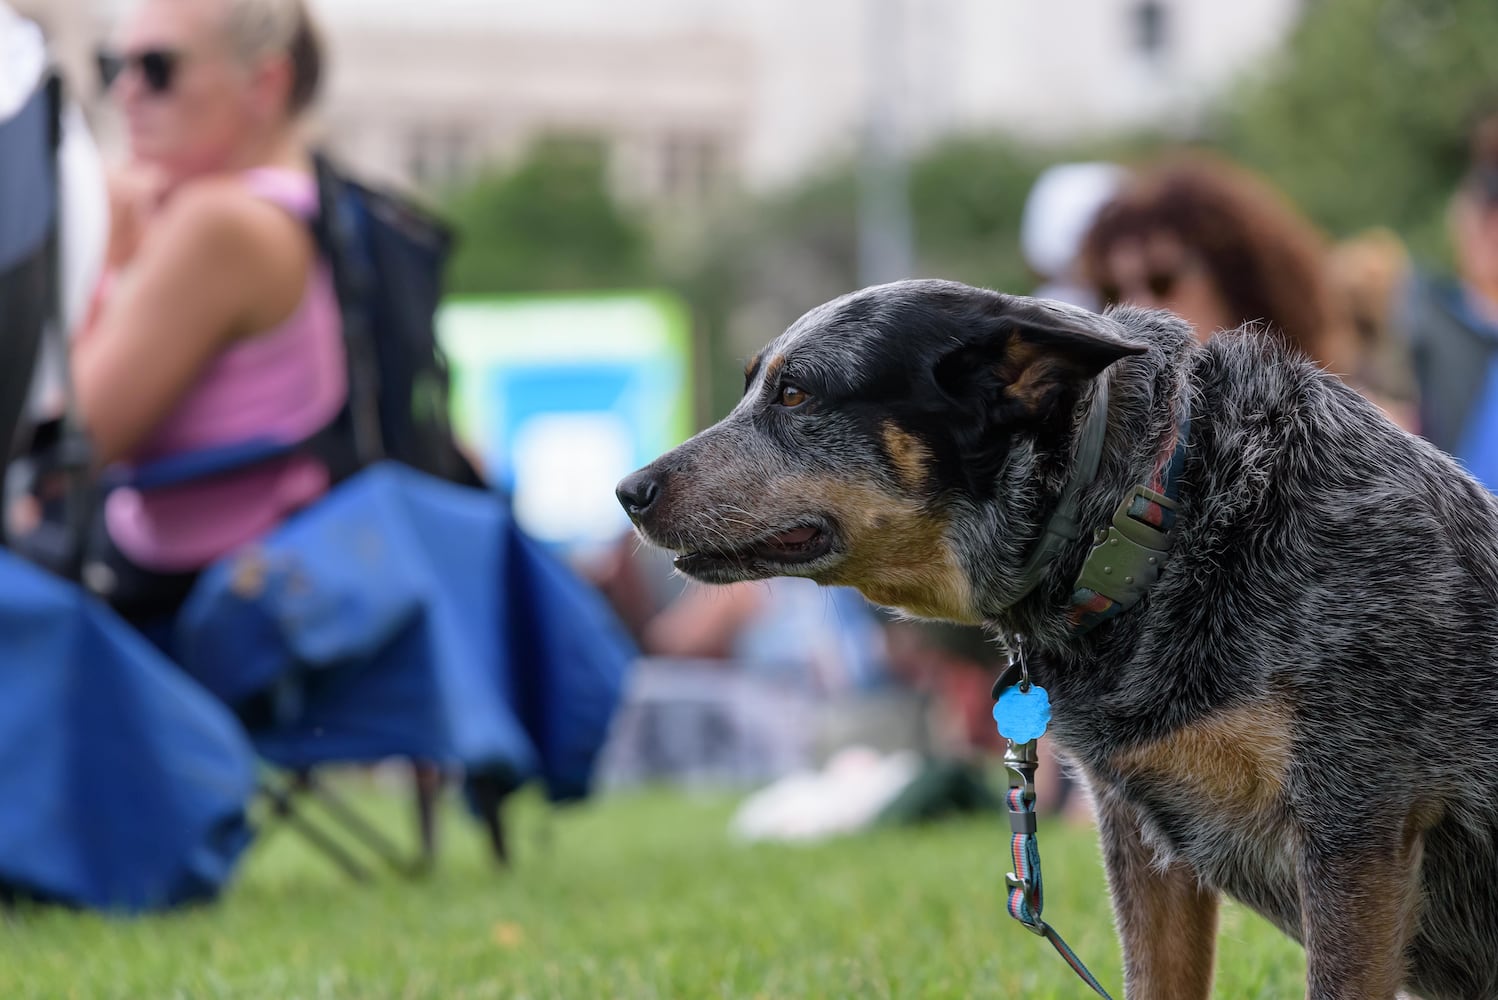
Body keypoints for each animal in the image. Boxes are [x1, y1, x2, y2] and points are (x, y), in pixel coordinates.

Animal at [614, 279, 1498, 999]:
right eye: (753, 387)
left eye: (796, 393)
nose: (629, 490)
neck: (1157, 519)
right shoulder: (1142, 835)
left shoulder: (1355, 824)